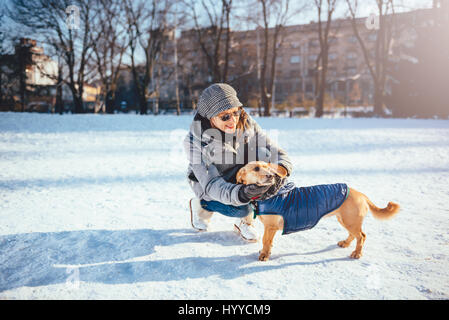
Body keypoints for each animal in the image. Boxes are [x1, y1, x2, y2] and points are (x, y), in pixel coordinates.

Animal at [236, 161, 400, 262]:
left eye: (269, 168)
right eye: (256, 168)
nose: (270, 176)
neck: (271, 193)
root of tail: (361, 194)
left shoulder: (270, 227)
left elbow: (266, 241)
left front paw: (264, 255)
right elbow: (268, 243)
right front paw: (266, 253)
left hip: (350, 221)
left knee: (362, 236)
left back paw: (357, 253)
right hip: (345, 220)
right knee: (354, 235)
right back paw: (345, 243)